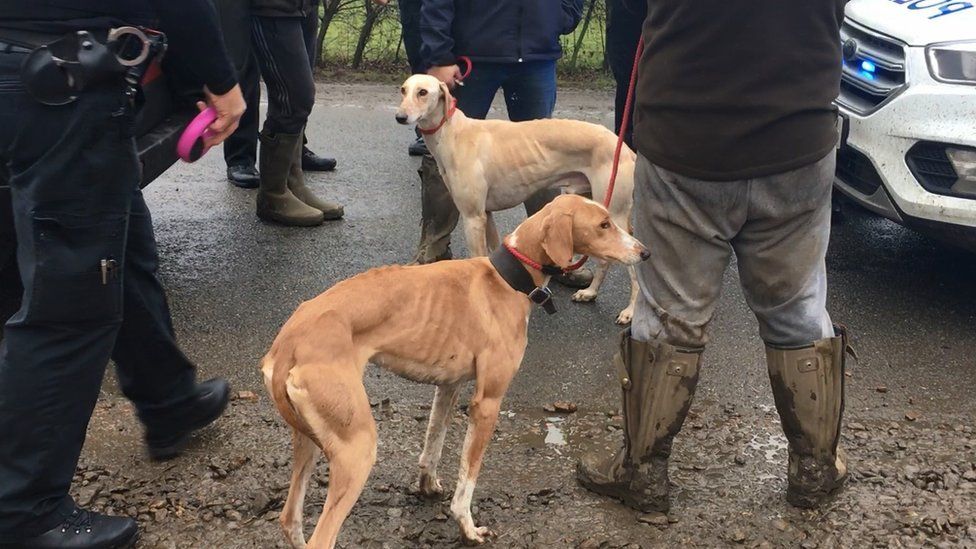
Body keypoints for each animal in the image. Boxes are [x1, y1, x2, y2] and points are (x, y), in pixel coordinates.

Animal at [264, 195, 652, 544]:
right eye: (603, 224)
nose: (645, 253)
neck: (507, 278)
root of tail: (287, 343)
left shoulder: (448, 386)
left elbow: (433, 443)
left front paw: (427, 485)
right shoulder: (487, 403)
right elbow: (468, 477)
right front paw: (467, 526)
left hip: (309, 441)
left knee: (289, 520)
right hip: (356, 449)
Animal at [396, 72, 640, 322]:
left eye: (423, 92)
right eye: (403, 90)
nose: (400, 117)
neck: (455, 133)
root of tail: (626, 148)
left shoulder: (473, 217)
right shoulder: (486, 214)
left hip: (615, 216)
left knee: (635, 269)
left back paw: (630, 311)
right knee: (606, 260)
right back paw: (590, 292)